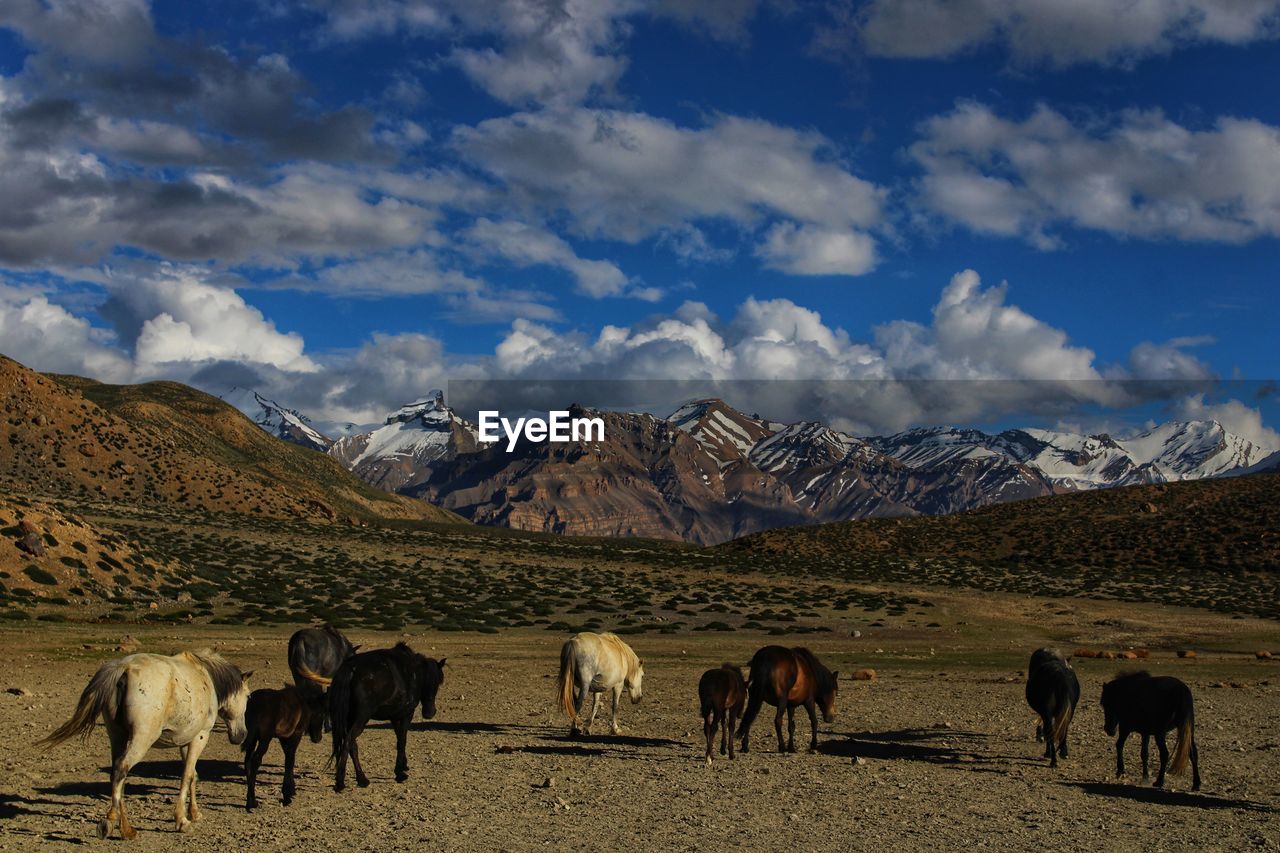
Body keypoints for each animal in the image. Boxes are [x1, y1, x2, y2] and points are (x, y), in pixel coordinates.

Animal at [36, 648, 252, 835]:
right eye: (248, 696)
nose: (241, 735)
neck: (206, 676)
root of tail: (123, 668)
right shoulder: (200, 737)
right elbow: (187, 775)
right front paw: (182, 819)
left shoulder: (186, 740)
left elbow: (193, 775)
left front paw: (194, 813)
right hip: (141, 739)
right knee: (122, 768)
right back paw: (118, 825)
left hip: (118, 736)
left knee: (117, 773)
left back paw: (121, 823)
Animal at [241, 681, 327, 809]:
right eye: (321, 713)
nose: (318, 738)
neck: (303, 702)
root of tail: (254, 705)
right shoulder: (296, 733)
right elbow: (290, 760)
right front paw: (287, 796)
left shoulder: (283, 737)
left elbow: (288, 757)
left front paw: (291, 790)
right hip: (265, 738)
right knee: (255, 760)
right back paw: (252, 802)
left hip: (252, 738)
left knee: (247, 760)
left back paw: (250, 800)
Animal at [300, 640, 445, 788]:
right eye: (437, 682)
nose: (430, 713)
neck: (412, 673)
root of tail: (351, 670)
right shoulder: (406, 714)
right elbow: (402, 741)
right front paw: (400, 773)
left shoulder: (394, 717)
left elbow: (399, 738)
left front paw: (403, 767)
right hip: (361, 718)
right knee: (348, 741)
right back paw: (341, 781)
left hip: (349, 719)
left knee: (352, 745)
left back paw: (361, 779)